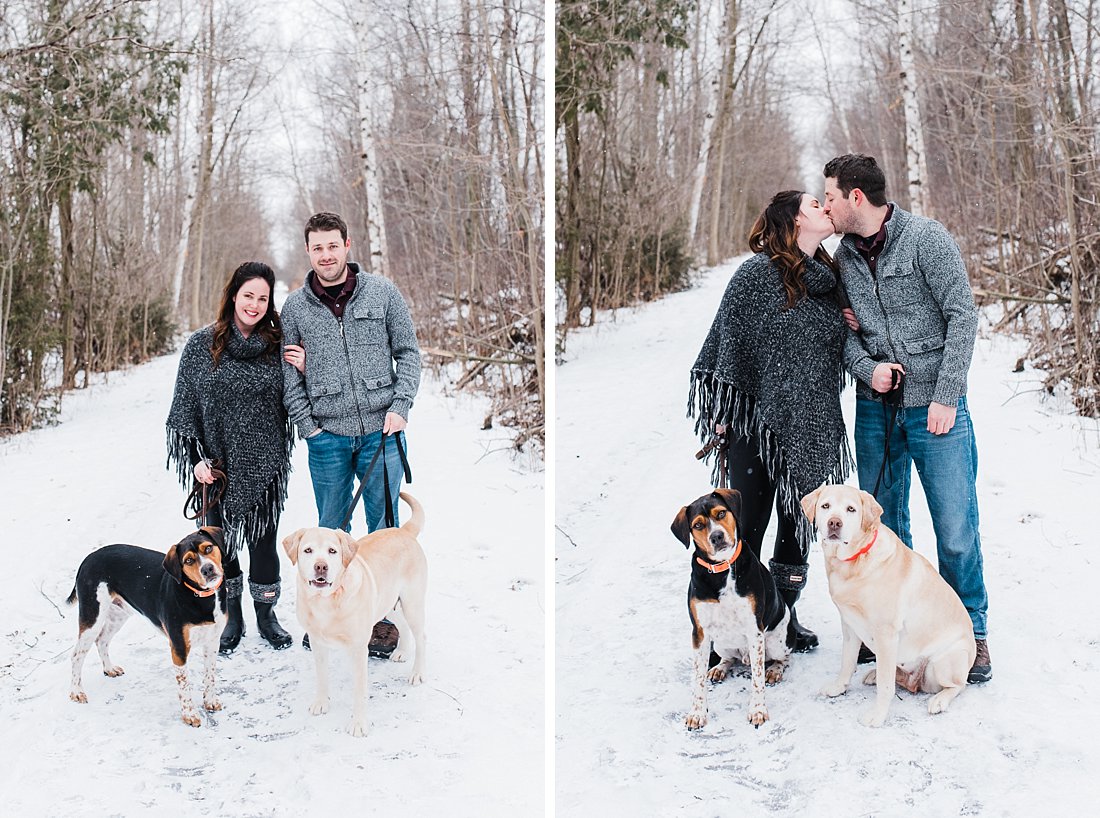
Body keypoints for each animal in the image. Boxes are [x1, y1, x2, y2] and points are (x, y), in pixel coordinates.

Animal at [281, 492, 426, 743]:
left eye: (332, 551)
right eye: (308, 550)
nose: (321, 567)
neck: (326, 601)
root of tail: (403, 531)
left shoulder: (359, 649)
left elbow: (359, 692)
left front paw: (358, 725)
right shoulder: (318, 644)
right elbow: (322, 677)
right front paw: (321, 703)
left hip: (413, 604)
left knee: (422, 636)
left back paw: (417, 673)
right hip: (388, 603)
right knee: (403, 626)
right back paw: (400, 651)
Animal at [800, 481, 972, 725]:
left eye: (851, 509)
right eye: (826, 506)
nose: (834, 522)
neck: (855, 561)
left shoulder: (886, 633)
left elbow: (886, 686)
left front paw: (877, 715)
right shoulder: (849, 625)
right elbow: (847, 662)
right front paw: (839, 687)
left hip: (944, 661)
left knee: (958, 685)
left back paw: (939, 700)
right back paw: (875, 674)